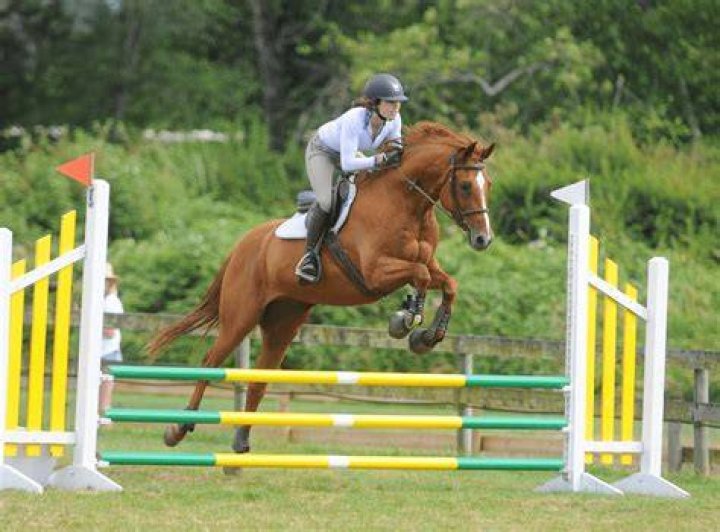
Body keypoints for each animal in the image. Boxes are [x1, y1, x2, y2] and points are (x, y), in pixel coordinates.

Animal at [147, 121, 496, 452]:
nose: (483, 239)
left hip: (284, 321)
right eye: (466, 185)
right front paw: (406, 321)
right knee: (210, 361)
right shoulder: (375, 273)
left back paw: (241, 440)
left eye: (487, 185)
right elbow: (420, 276)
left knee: (260, 377)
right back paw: (177, 429)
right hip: (241, 315)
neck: (406, 206)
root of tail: (244, 244)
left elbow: (448, 283)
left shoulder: (428, 265)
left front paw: (428, 336)